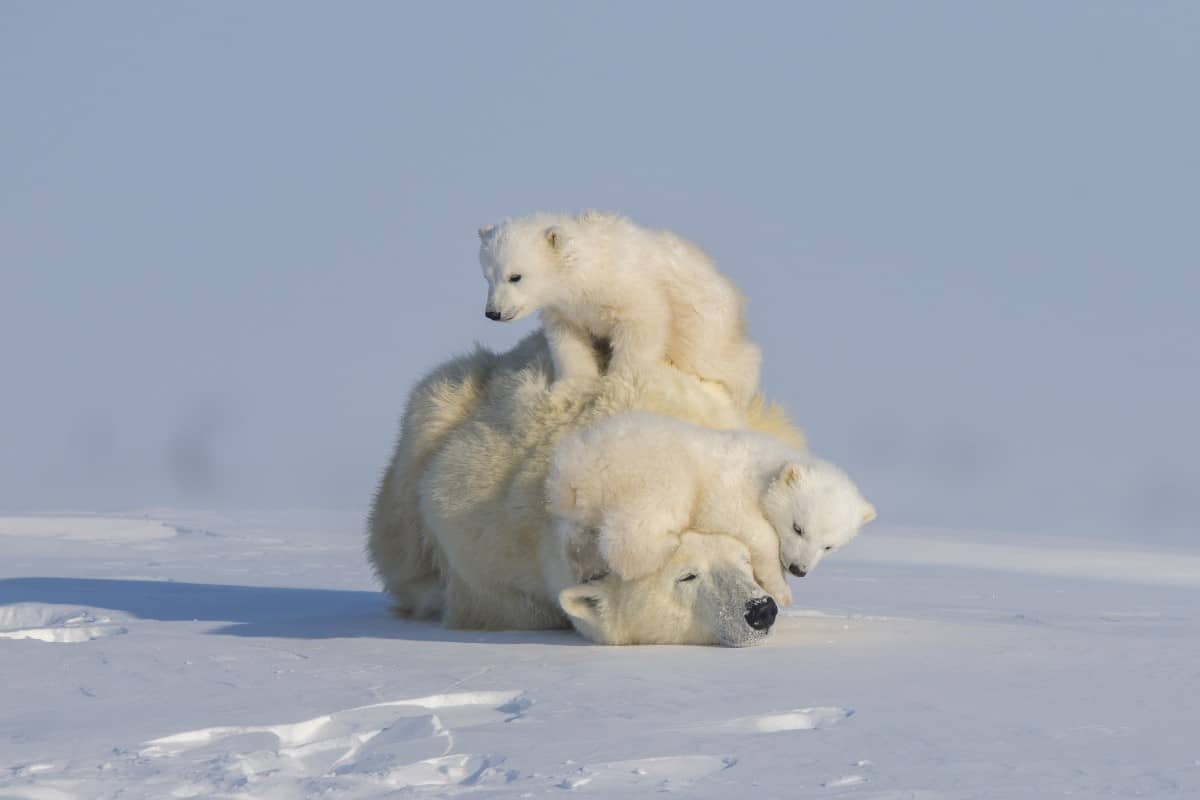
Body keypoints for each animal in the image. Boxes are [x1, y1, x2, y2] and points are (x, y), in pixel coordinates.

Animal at [475, 211, 758, 407]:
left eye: (515, 276)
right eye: (487, 277)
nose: (493, 313)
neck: (588, 272)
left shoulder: (628, 288)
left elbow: (643, 324)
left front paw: (618, 383)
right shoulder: (566, 311)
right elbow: (569, 341)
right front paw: (573, 385)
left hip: (704, 325)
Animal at [549, 412, 878, 606]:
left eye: (829, 546)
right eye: (798, 528)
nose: (799, 570)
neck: (767, 466)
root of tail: (576, 466)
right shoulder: (729, 489)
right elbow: (752, 529)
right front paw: (782, 591)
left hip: (581, 501)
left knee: (577, 534)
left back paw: (583, 565)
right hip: (651, 468)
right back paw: (662, 547)